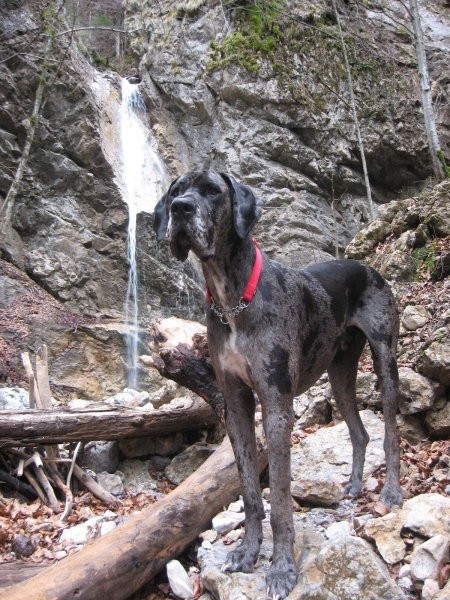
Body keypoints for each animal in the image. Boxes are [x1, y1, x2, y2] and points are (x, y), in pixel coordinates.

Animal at [153, 171, 402, 596]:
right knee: (359, 432)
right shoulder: (234, 405)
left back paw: (392, 491)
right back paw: (354, 485)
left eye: (212, 192)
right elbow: (251, 493)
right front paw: (246, 552)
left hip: (385, 358)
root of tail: (368, 268)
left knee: (390, 431)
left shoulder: (276, 406)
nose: (180, 209)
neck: (233, 298)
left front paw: (282, 569)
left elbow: (281, 502)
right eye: (175, 192)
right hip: (340, 374)